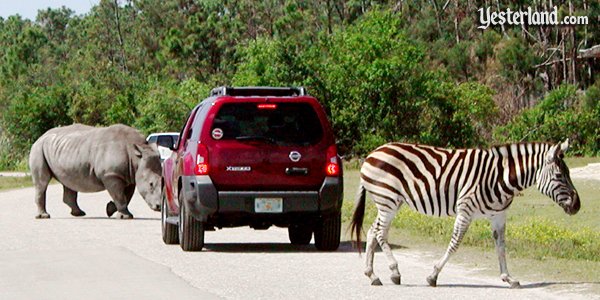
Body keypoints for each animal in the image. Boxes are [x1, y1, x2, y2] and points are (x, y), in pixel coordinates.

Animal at [350, 141, 580, 288]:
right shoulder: (465, 210)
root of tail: (372, 153)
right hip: (387, 200)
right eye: (559, 175)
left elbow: (501, 247)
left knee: (372, 232)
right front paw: (433, 276)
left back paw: (372, 275)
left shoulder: (498, 215)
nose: (577, 205)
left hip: (389, 203)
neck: (501, 177)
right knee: (380, 233)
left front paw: (508, 278)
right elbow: (455, 243)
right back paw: (395, 272)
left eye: (569, 173)